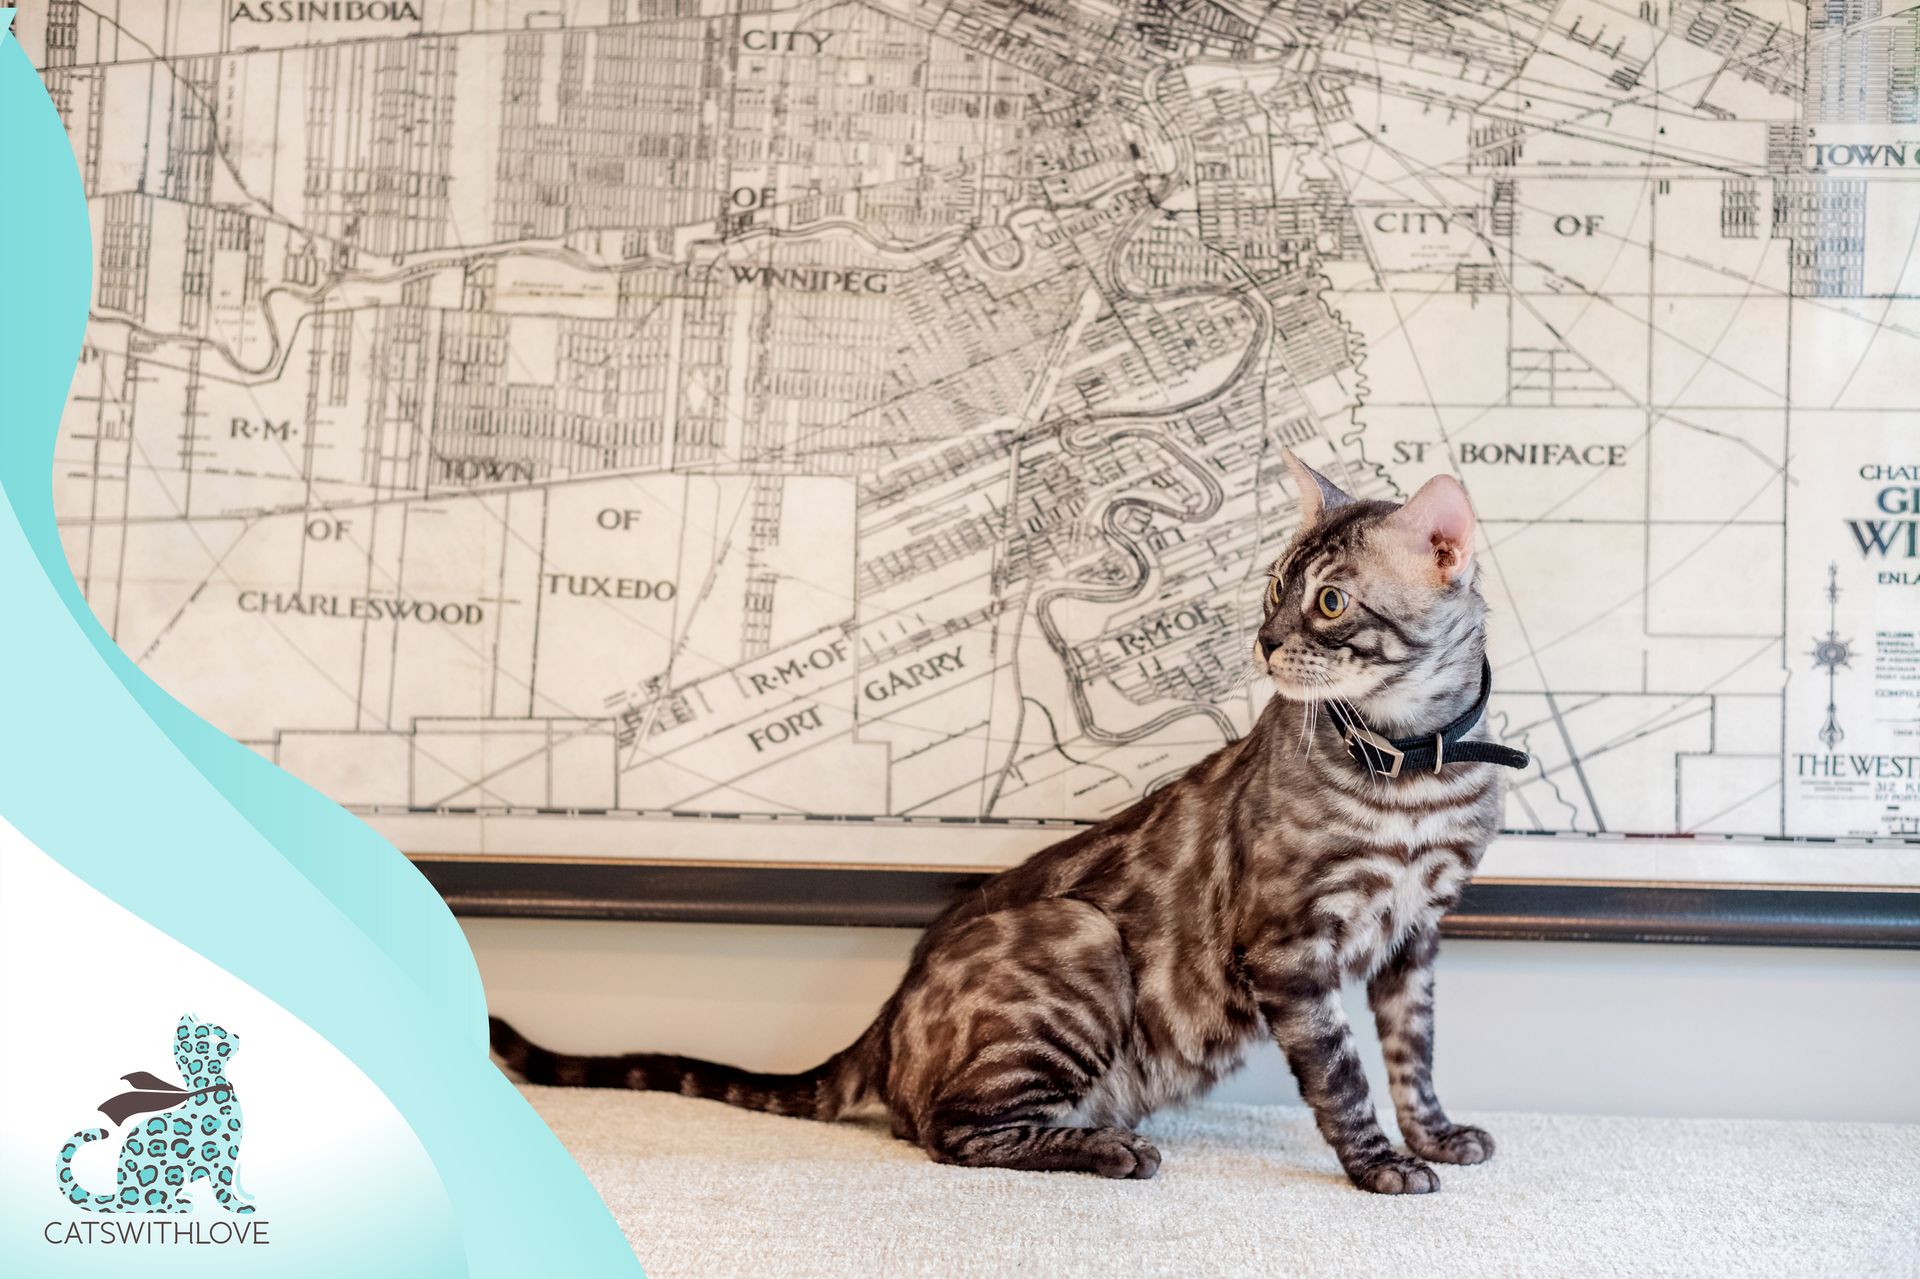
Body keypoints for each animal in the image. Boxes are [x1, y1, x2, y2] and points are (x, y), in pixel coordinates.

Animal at [491, 453, 1528, 1190]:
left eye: (1330, 600)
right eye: (1275, 588)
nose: (1266, 643)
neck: (1415, 766)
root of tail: (884, 1016)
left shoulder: (1417, 936)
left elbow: (1413, 1056)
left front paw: (1435, 1135)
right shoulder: (1291, 945)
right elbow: (1344, 1074)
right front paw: (1381, 1165)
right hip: (1081, 937)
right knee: (945, 1130)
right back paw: (1107, 1148)